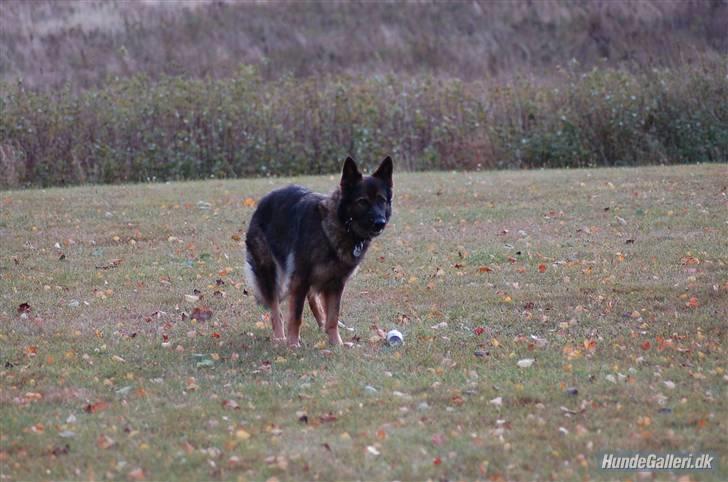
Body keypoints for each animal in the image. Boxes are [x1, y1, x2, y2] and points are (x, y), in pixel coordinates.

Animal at [245, 156, 392, 344]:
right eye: (363, 201)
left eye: (382, 200)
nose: (380, 223)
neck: (338, 225)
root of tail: (263, 201)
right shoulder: (300, 279)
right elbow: (296, 316)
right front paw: (293, 343)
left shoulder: (336, 283)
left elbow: (333, 317)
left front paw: (336, 343)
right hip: (269, 274)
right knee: (276, 310)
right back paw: (280, 337)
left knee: (313, 298)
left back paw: (322, 324)